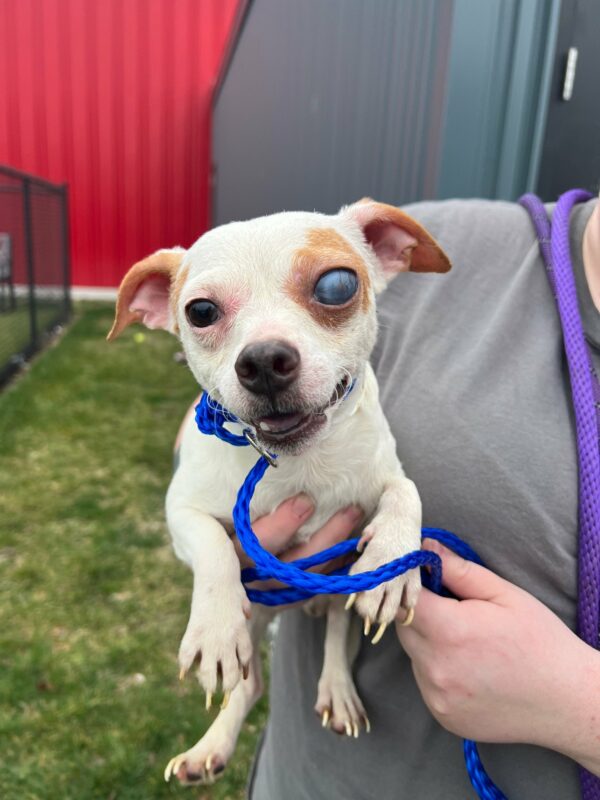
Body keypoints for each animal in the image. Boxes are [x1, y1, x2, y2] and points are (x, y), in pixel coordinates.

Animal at [108, 197, 450, 784]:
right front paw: (215, 630)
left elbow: (405, 492)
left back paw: (337, 690)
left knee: (335, 631)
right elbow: (216, 548)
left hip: (338, 590)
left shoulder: (383, 477)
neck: (299, 463)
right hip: (260, 610)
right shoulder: (182, 512)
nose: (264, 359)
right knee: (250, 686)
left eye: (336, 285)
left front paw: (392, 560)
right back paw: (210, 747)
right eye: (200, 311)